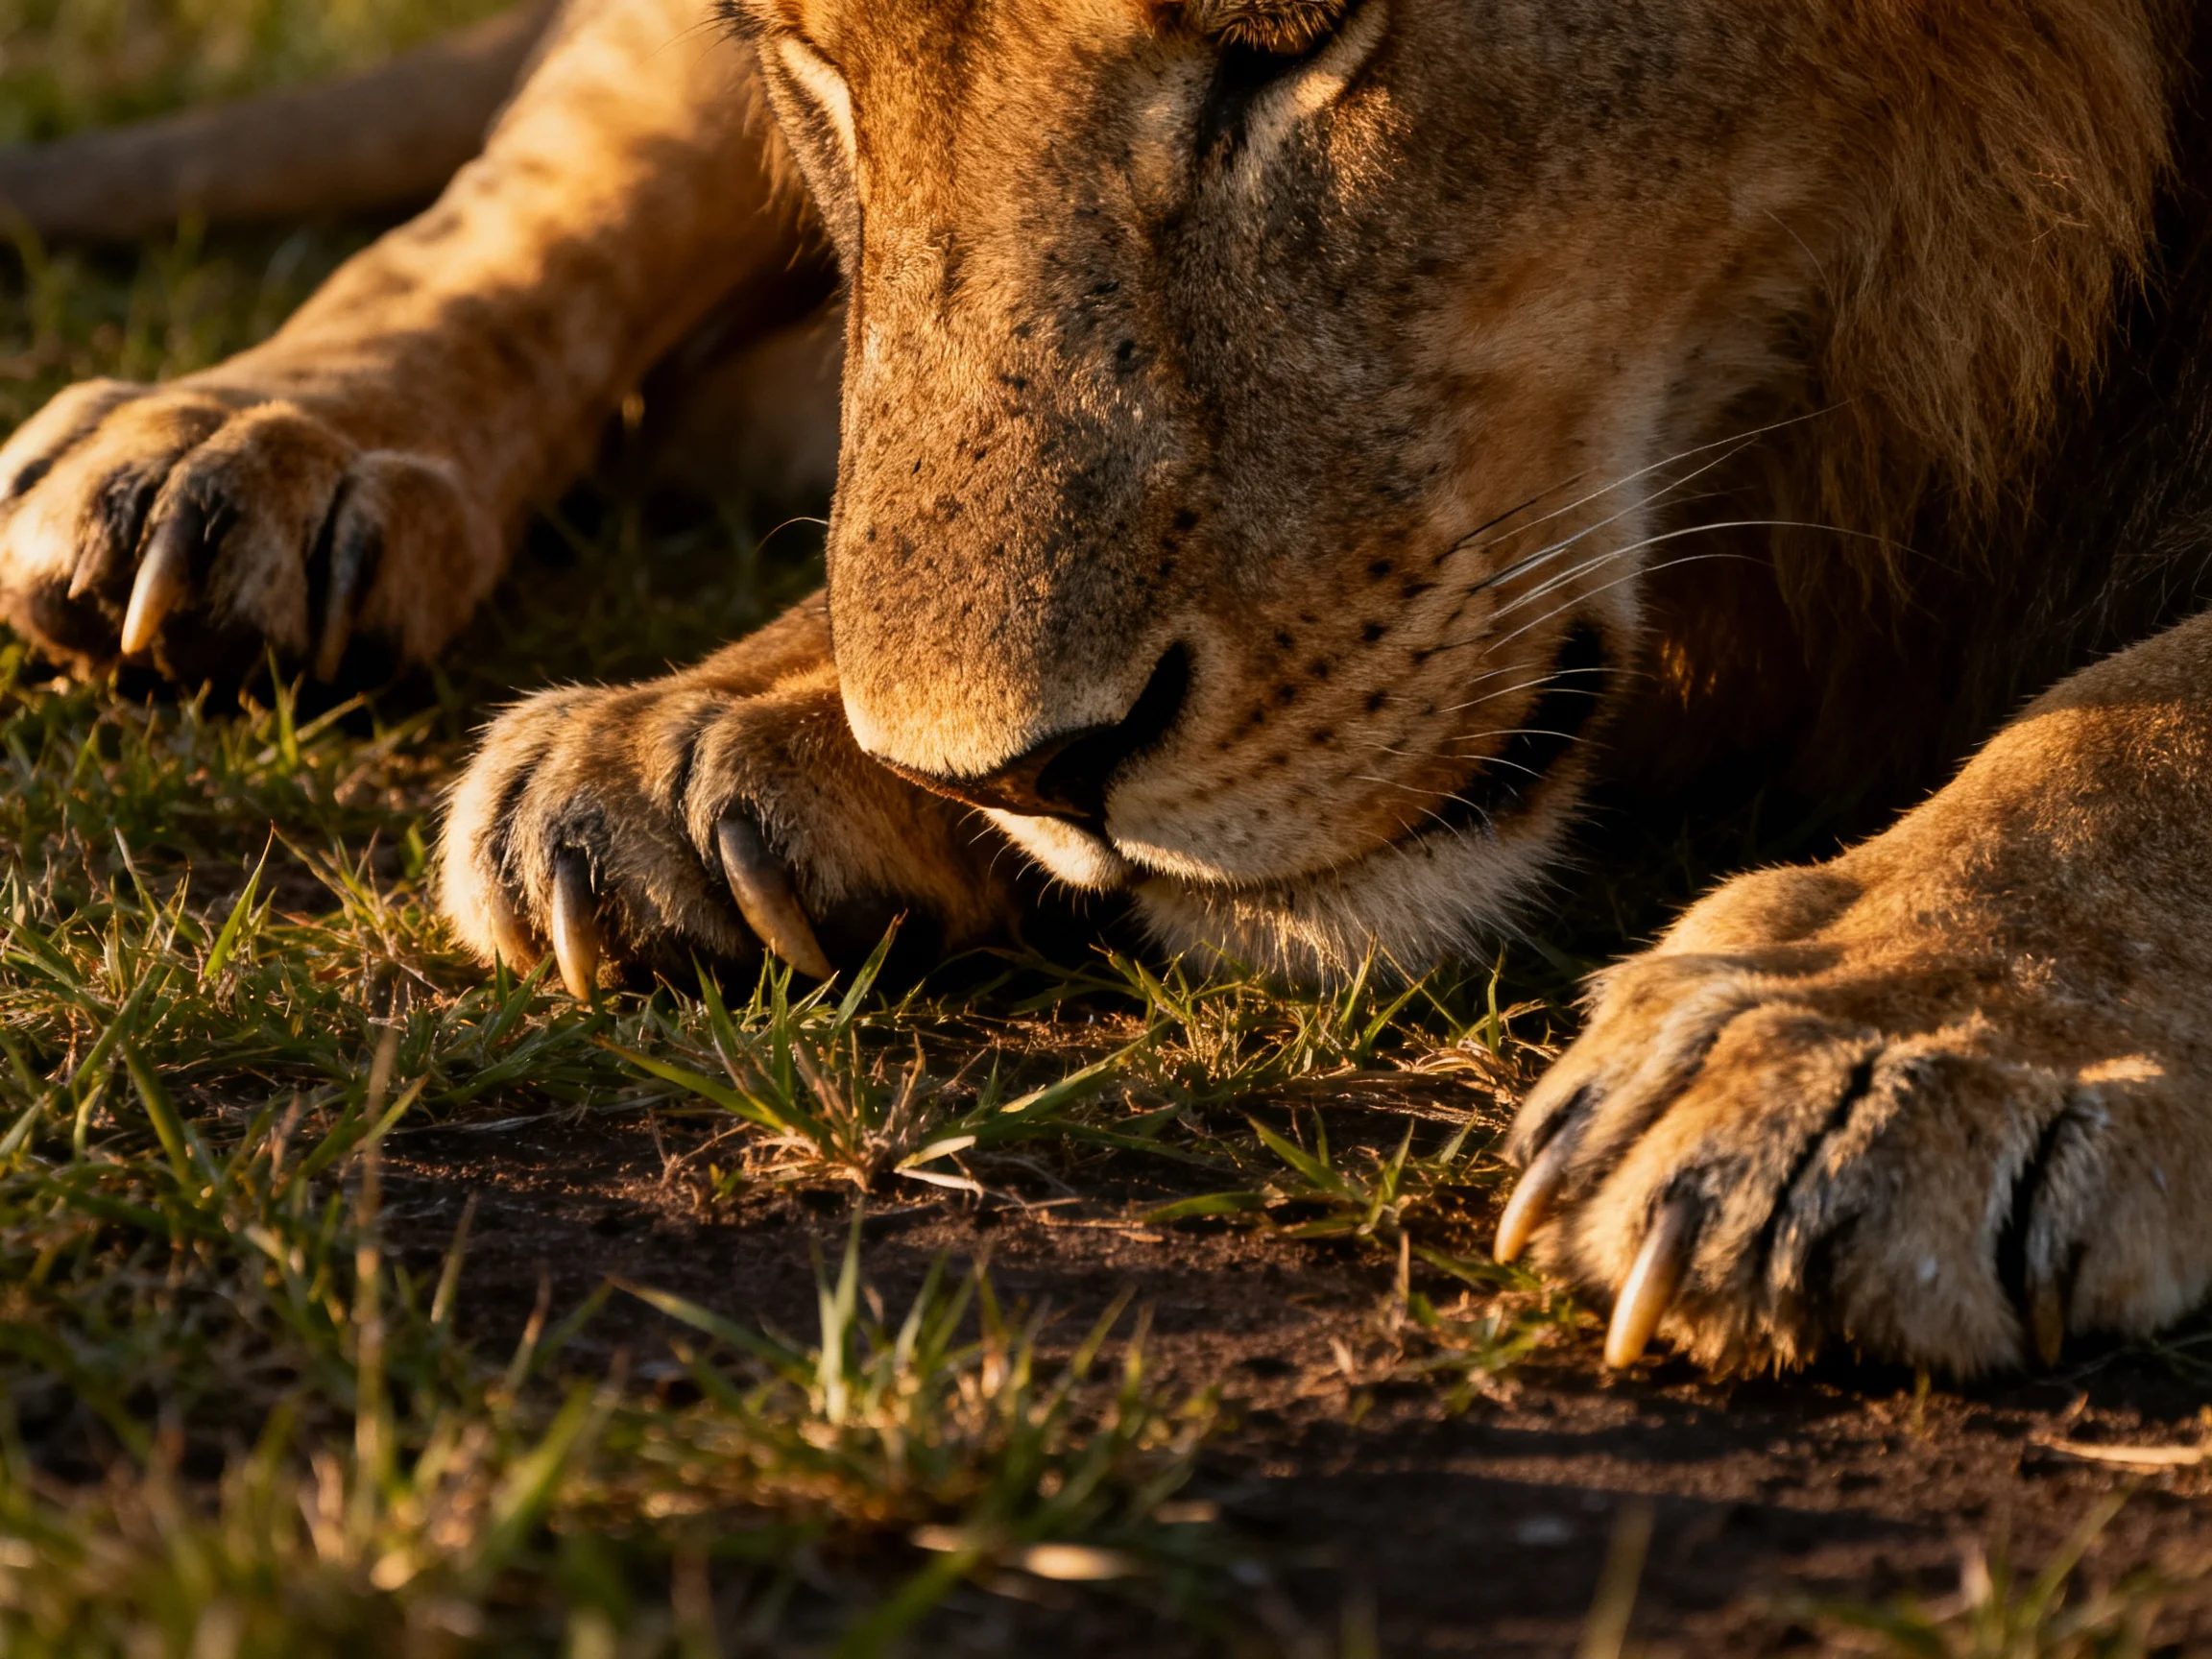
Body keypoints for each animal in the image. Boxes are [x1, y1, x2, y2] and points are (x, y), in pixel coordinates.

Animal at [2, 0, 2210, 1381]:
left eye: (1296, 31)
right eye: (812, 62)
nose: (1022, 774)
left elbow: (2151, 715)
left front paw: (1884, 1047)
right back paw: (225, 464)